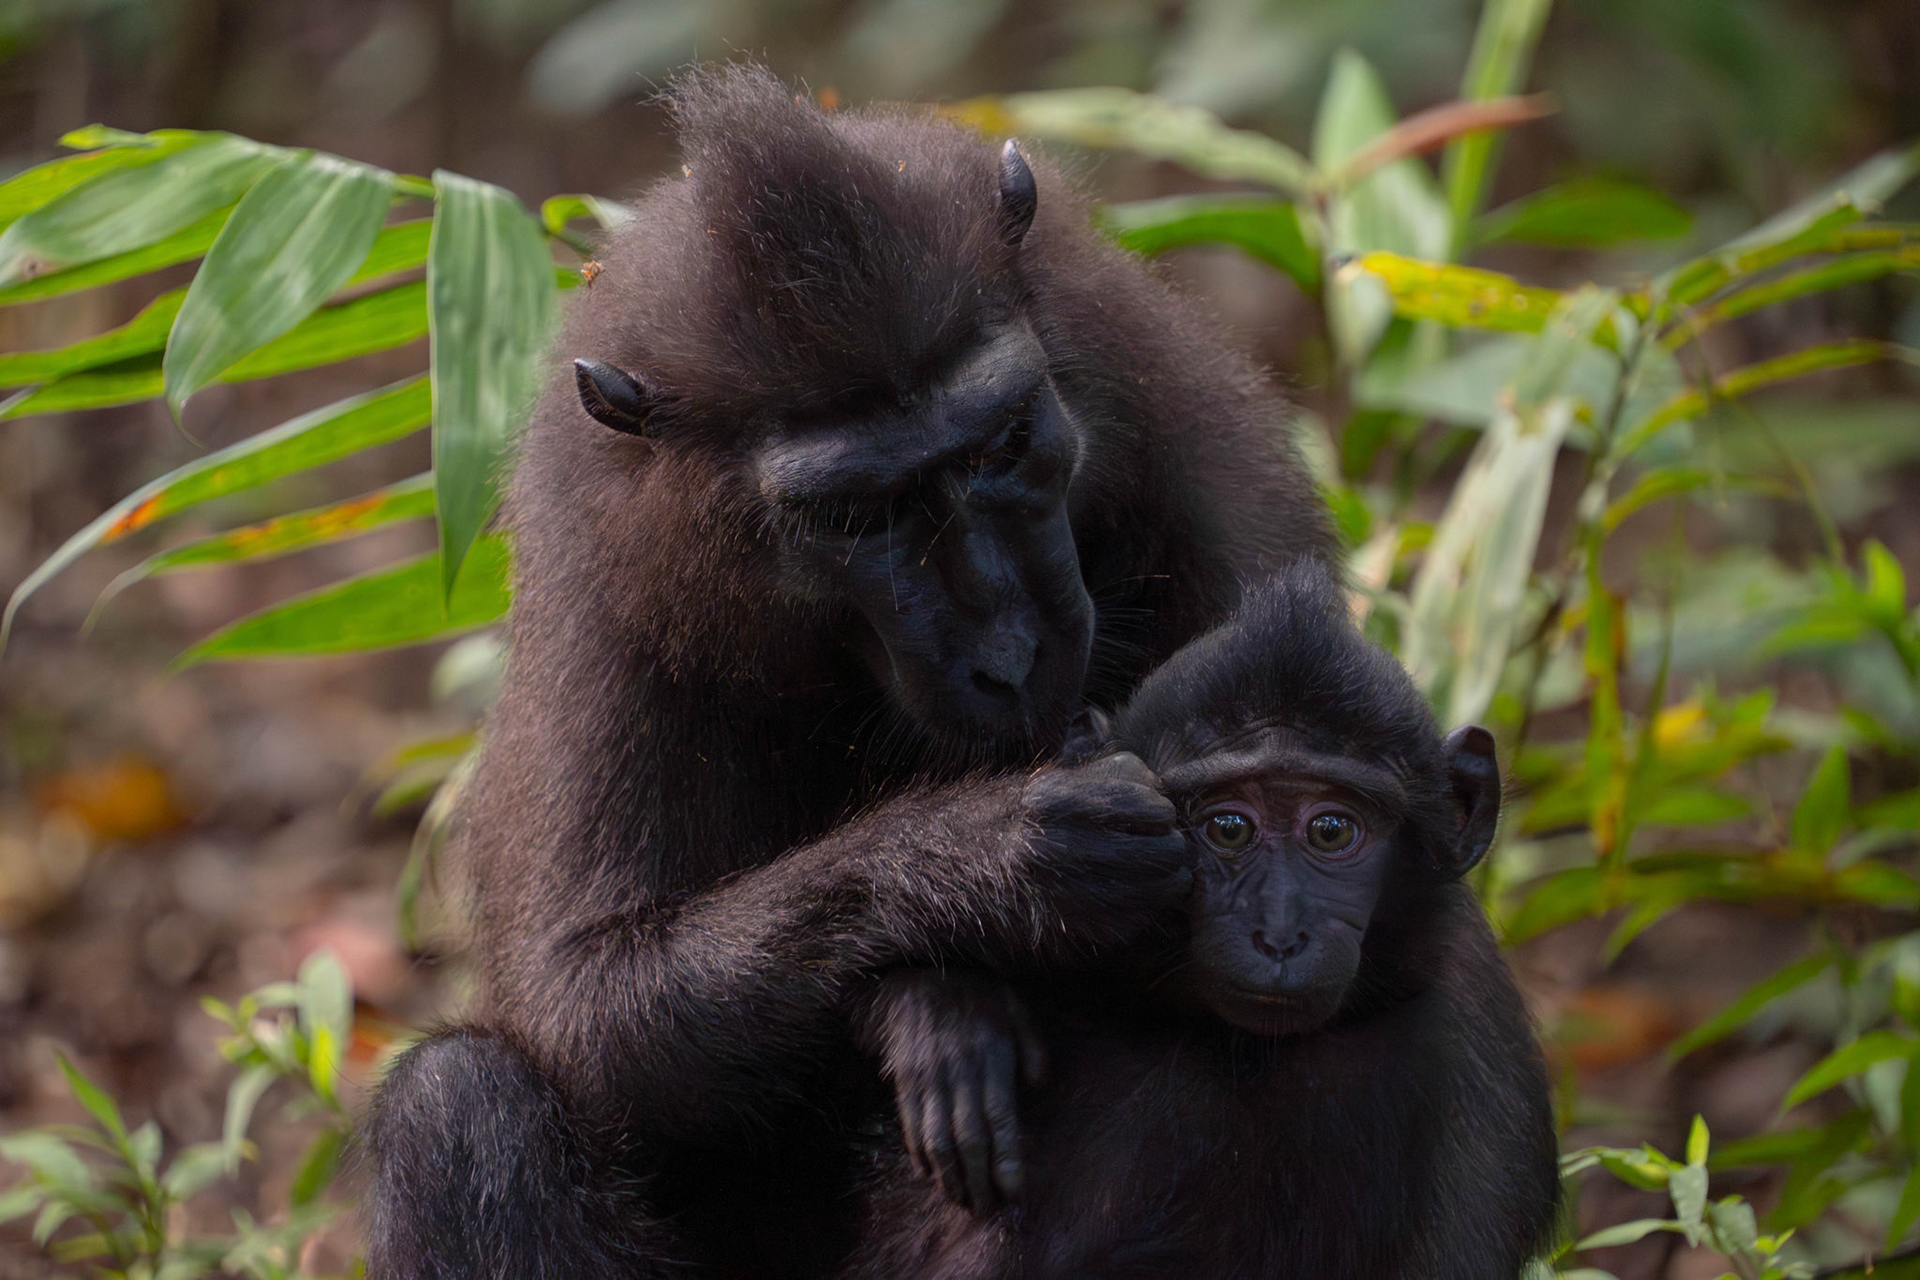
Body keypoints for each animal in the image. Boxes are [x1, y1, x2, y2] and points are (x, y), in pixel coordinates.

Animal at [364, 65, 1334, 1280]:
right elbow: (591, 1010)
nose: (1011, 658)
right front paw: (989, 874)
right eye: (852, 518)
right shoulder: (609, 612)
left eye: (1002, 443)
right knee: (456, 1105)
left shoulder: (1184, 449)